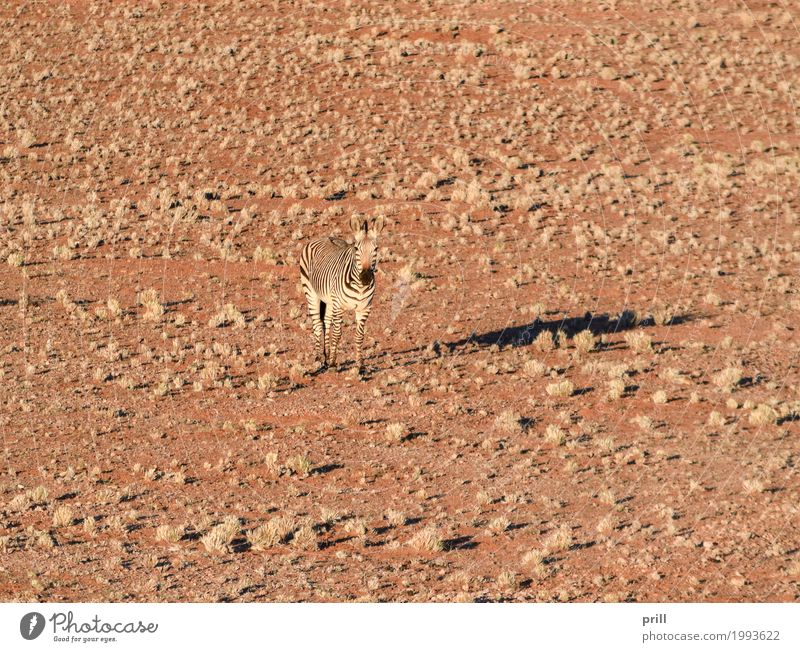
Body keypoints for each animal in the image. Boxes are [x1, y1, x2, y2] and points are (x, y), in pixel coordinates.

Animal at [302, 215, 386, 374]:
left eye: (376, 249)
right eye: (356, 249)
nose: (366, 278)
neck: (359, 286)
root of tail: (324, 237)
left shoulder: (364, 309)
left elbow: (359, 336)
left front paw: (360, 365)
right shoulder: (339, 306)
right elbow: (337, 333)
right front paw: (334, 364)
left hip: (329, 300)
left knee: (326, 321)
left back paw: (326, 356)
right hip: (311, 293)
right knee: (317, 324)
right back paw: (319, 360)